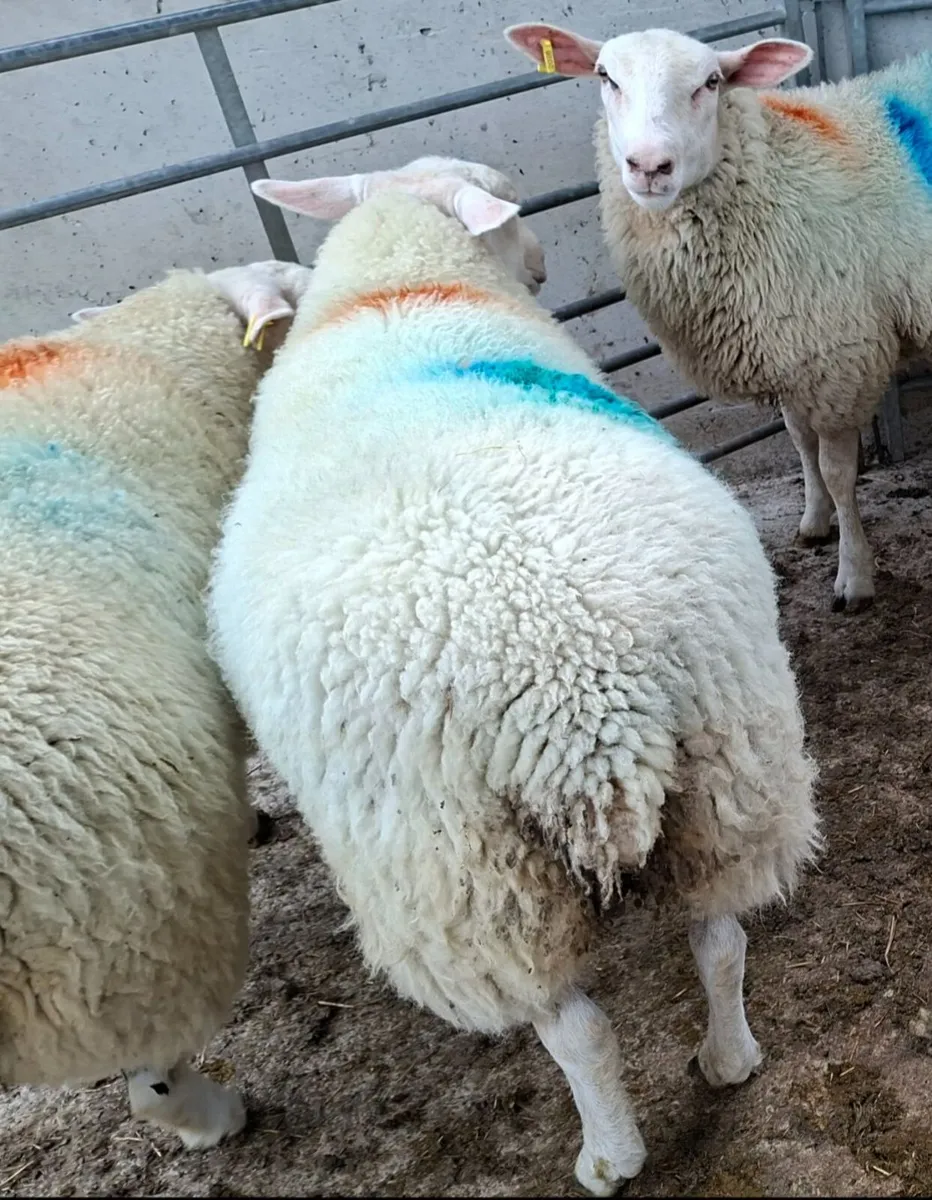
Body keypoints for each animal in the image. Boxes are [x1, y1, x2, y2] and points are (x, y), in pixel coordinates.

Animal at [205, 153, 820, 1195]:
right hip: (733, 769)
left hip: (469, 874)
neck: (401, 287)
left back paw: (609, 1156)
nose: (538, 265)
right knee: (721, 937)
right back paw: (728, 1061)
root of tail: (581, 689)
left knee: (576, 1029)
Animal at [504, 23, 932, 613]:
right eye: (605, 76)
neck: (772, 177)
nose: (649, 166)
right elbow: (799, 442)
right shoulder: (790, 346)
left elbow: (839, 472)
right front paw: (814, 520)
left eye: (710, 82)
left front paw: (853, 576)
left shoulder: (837, 359)